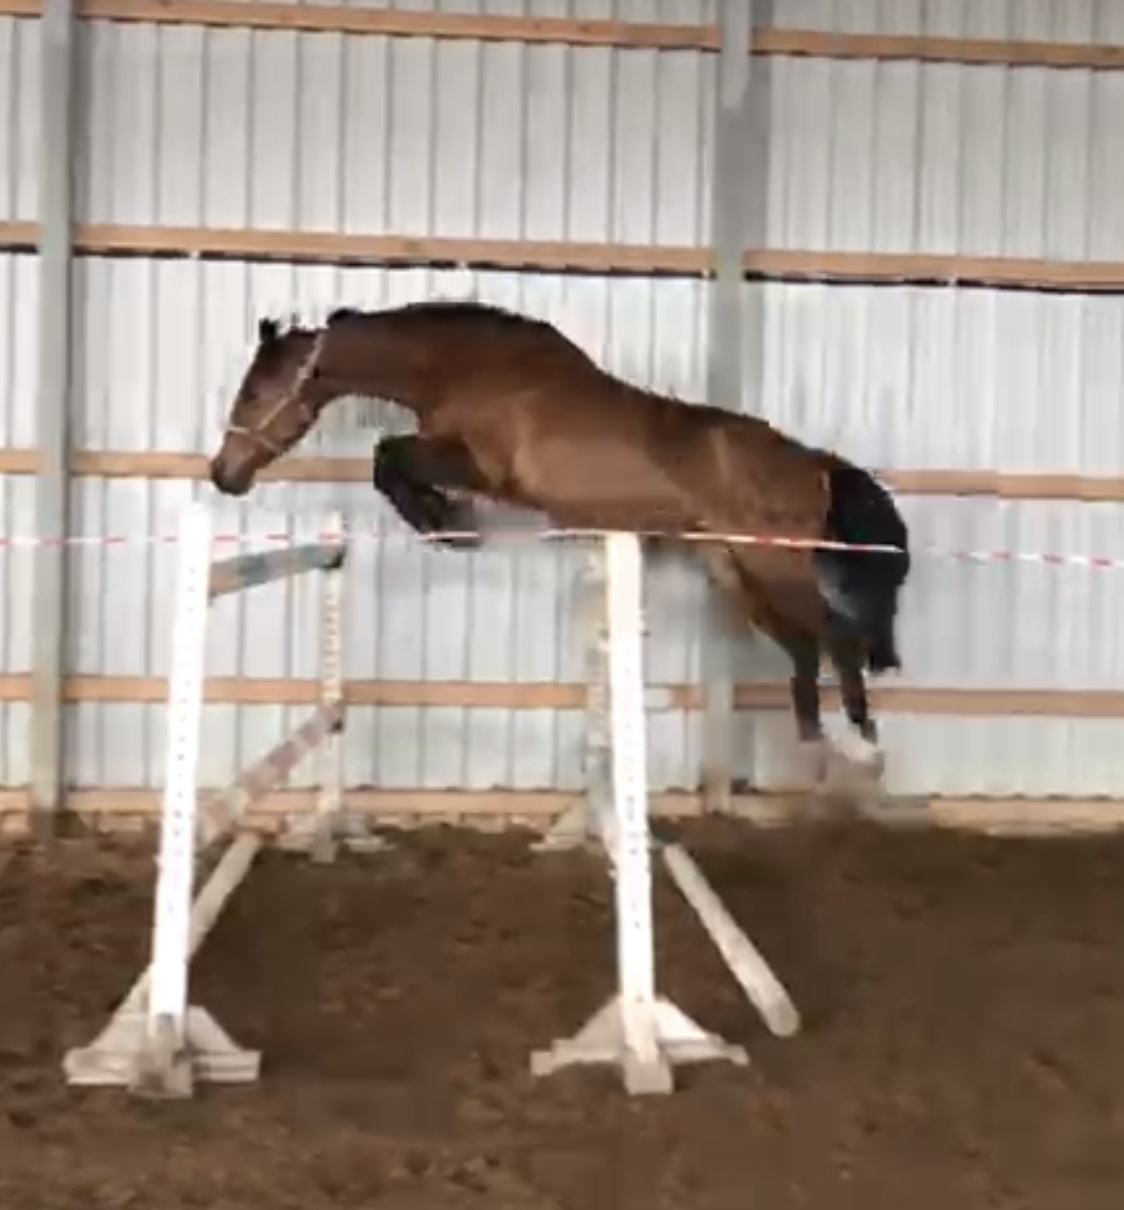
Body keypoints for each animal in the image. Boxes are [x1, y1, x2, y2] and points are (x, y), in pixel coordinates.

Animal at [208, 300, 911, 788]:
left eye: (255, 390)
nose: (224, 474)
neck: (467, 368)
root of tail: (816, 464)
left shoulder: (483, 468)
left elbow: (388, 457)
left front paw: (447, 521)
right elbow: (391, 459)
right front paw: (446, 519)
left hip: (774, 561)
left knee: (834, 638)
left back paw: (865, 750)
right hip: (733, 568)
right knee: (803, 648)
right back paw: (818, 748)